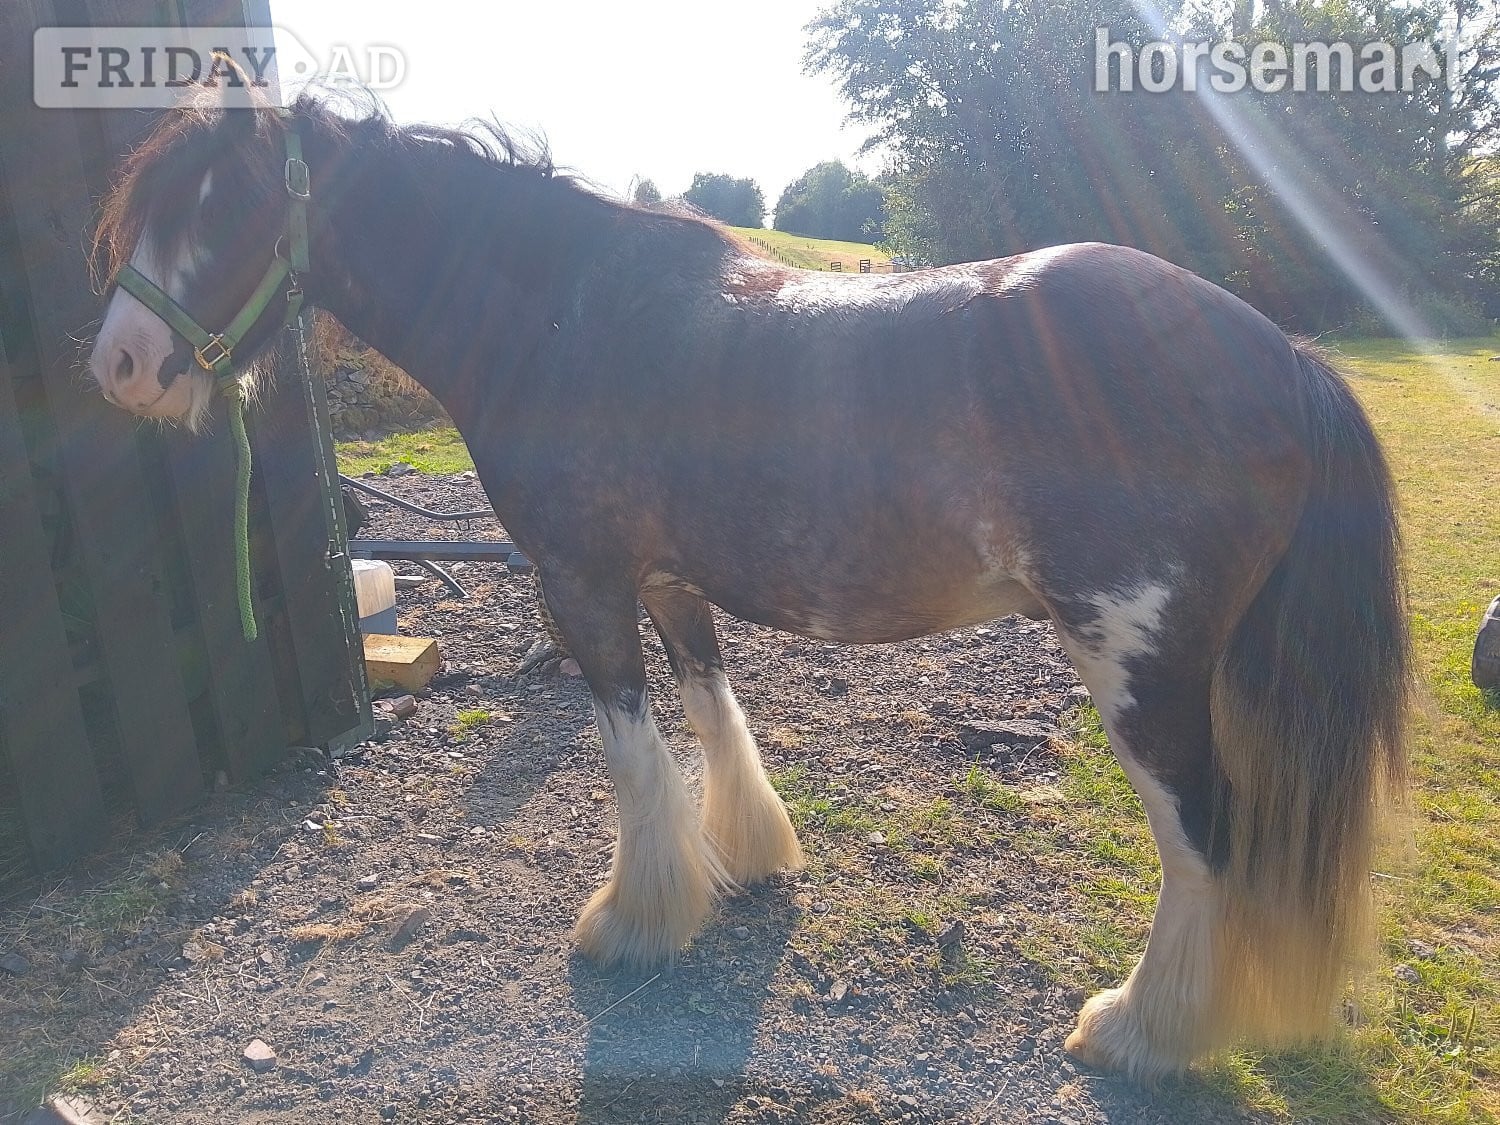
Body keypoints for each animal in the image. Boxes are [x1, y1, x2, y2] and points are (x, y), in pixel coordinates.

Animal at [86, 84, 1408, 1081]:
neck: (563, 315)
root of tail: (1279, 355)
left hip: (1142, 666)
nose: (120, 364)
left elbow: (630, 750)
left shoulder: (581, 580)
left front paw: (632, 924)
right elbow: (713, 710)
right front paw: (750, 859)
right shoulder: (672, 580)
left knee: (1206, 839)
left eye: (226, 200)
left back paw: (1140, 1032)